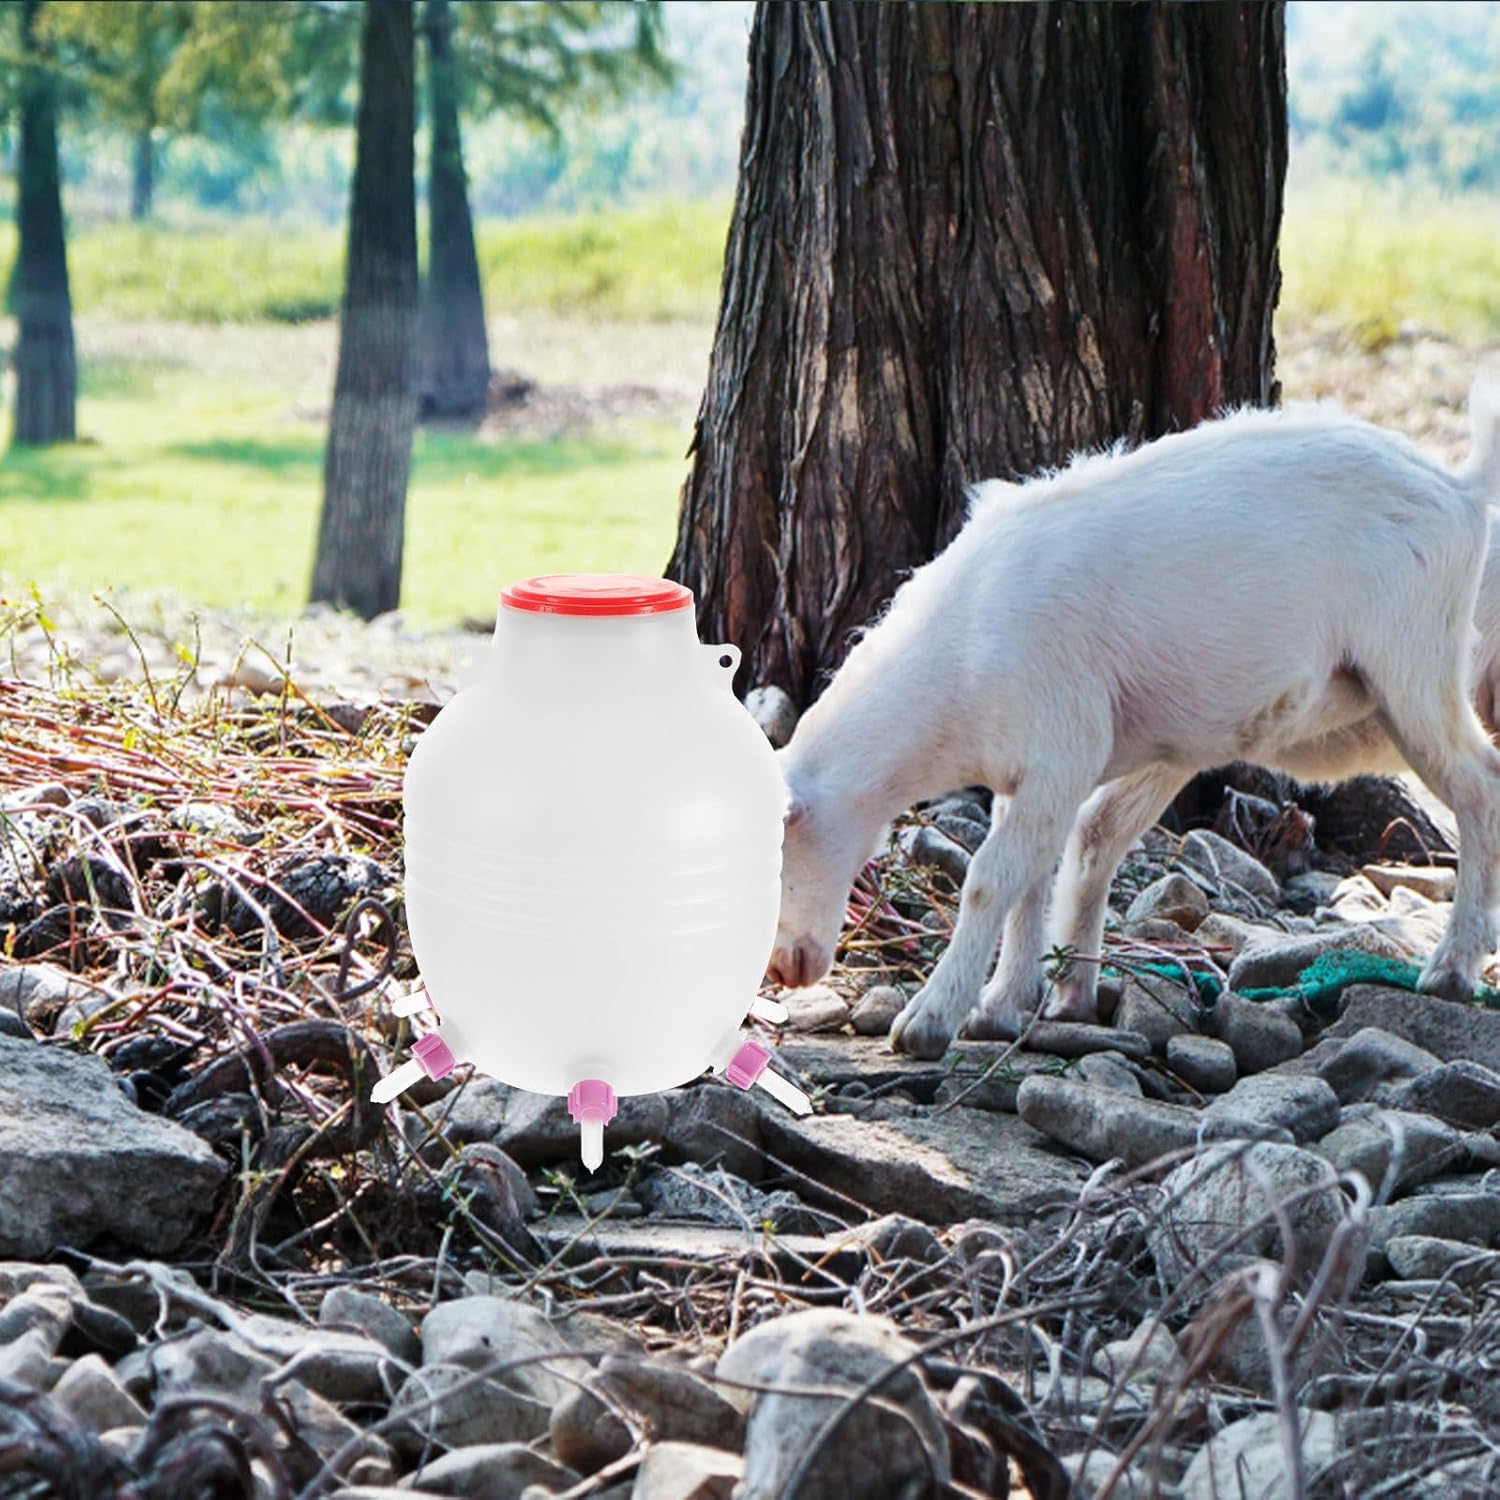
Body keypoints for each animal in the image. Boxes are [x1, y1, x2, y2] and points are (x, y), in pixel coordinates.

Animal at [767, 386, 1500, 1060]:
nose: (782, 969)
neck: (956, 661)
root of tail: (1459, 489)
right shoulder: (1034, 776)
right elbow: (1030, 878)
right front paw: (1002, 1006)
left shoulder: (1059, 748)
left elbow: (989, 879)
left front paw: (930, 1019)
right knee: (1101, 834)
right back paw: (1073, 993)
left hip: (1415, 665)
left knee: (1479, 786)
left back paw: (1452, 969)